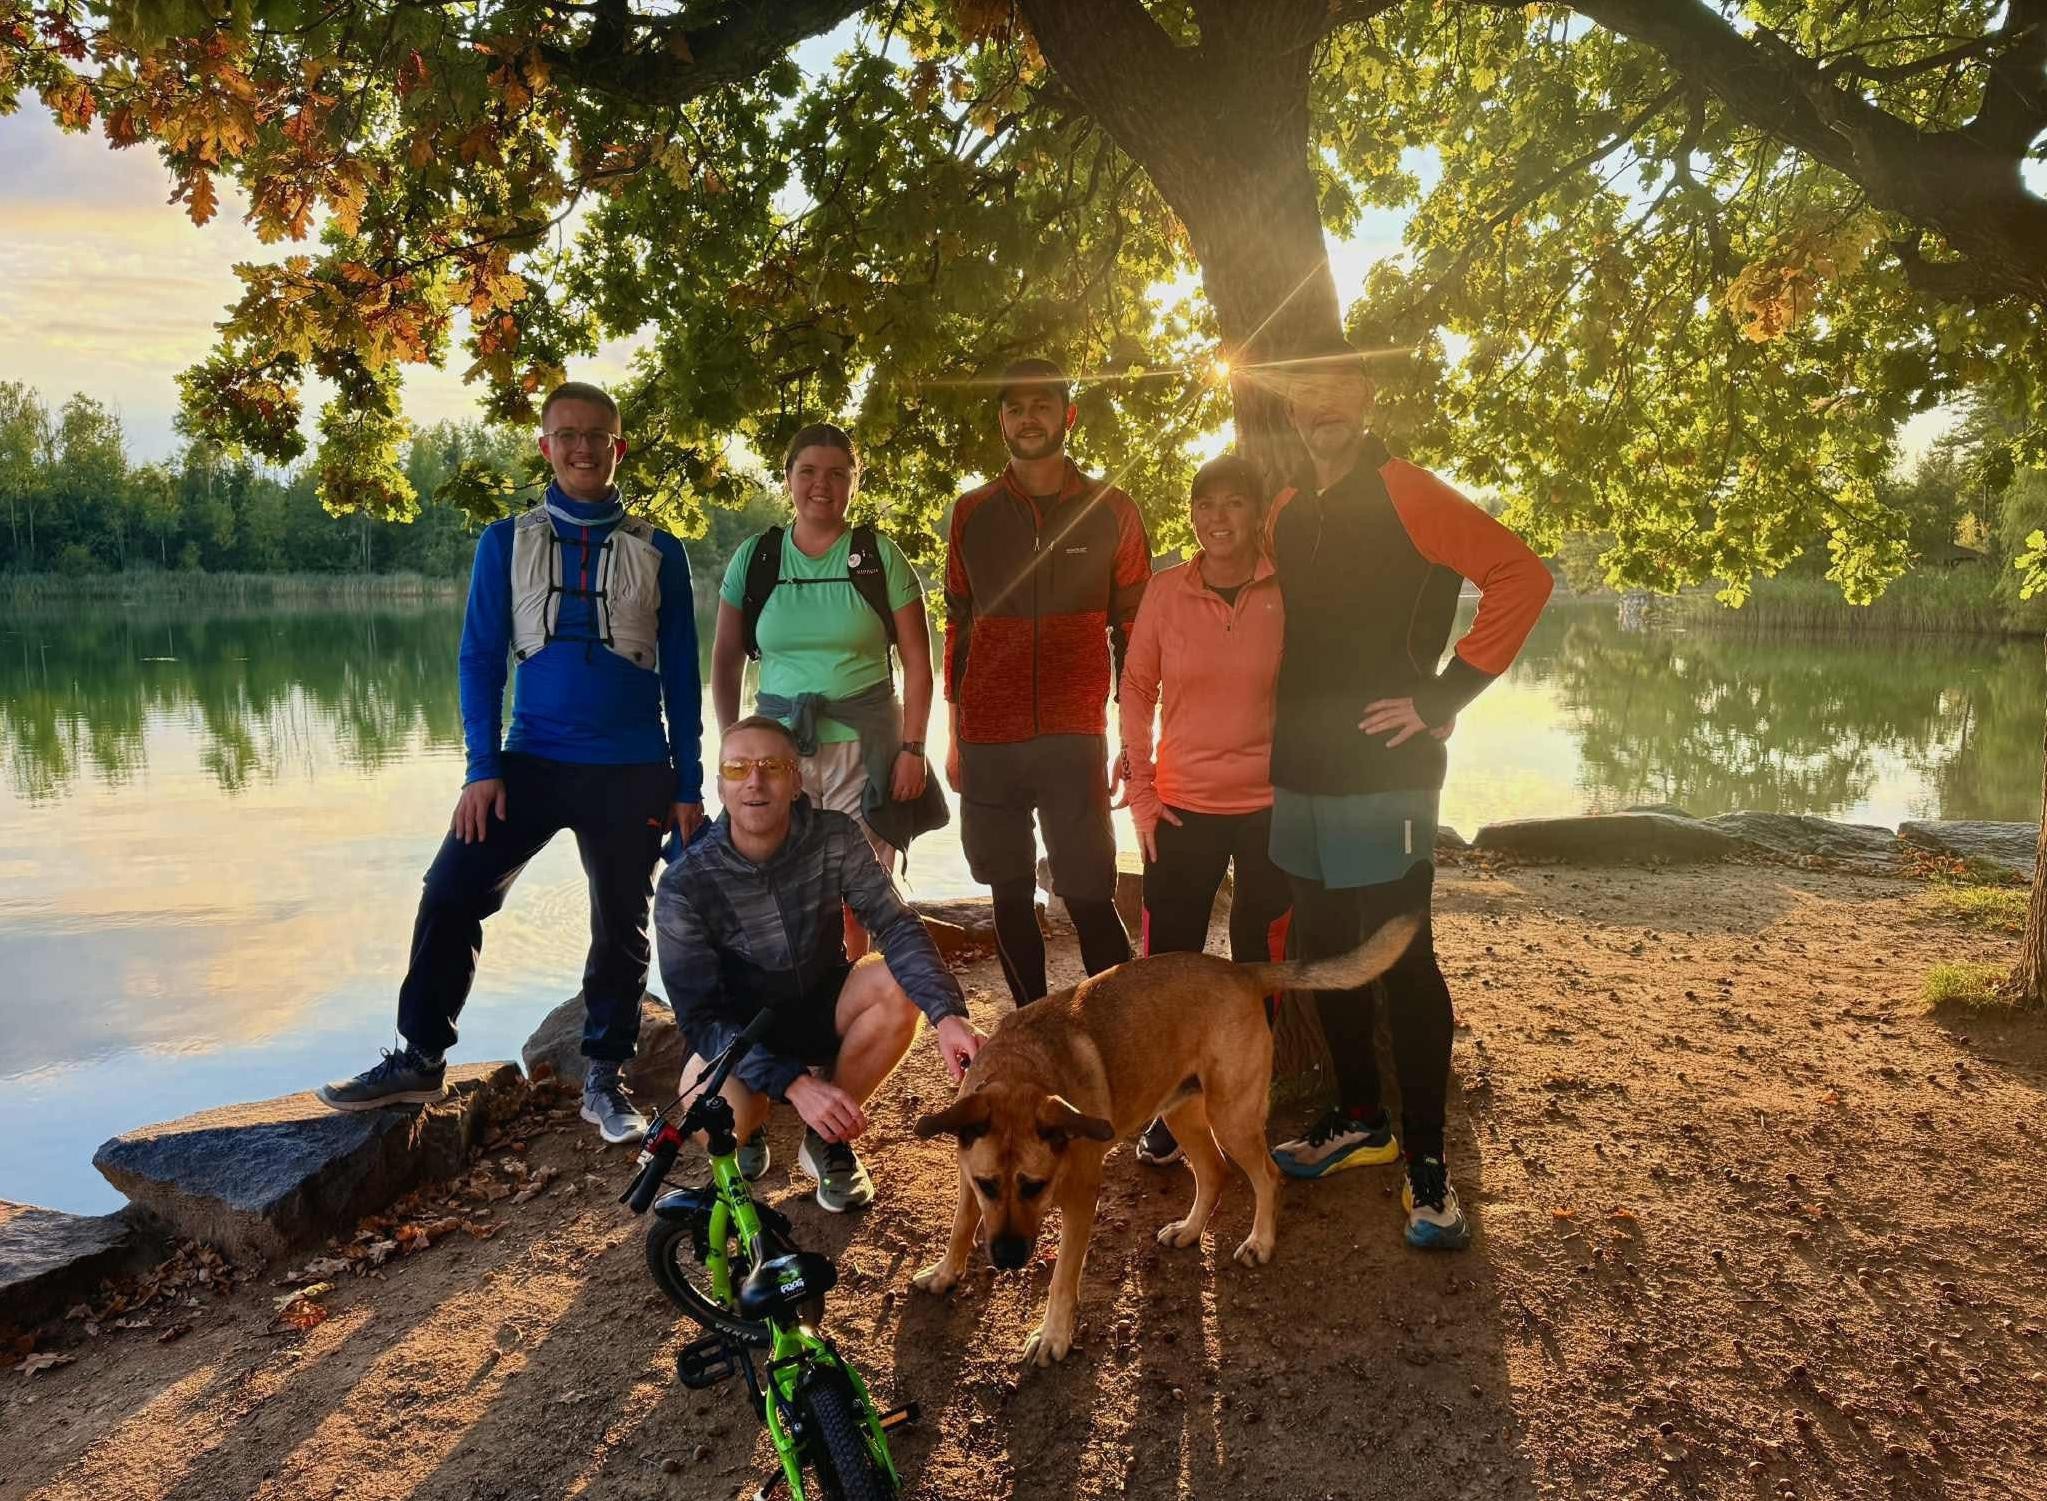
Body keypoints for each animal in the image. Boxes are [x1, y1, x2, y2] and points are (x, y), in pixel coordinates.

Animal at [911, 914, 1420, 1364]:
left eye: (1036, 1187)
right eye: (989, 1185)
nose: (1009, 1259)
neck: (1023, 1067)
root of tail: (1240, 970)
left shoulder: (1081, 1197)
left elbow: (1062, 1276)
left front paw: (1053, 1336)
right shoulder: (968, 1175)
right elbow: (961, 1225)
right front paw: (945, 1272)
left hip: (1230, 1115)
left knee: (1268, 1177)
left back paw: (1260, 1241)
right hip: (1182, 1115)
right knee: (1214, 1173)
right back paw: (1190, 1230)